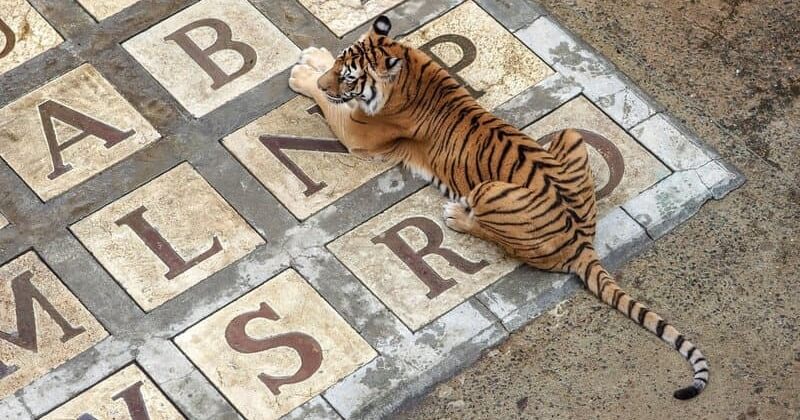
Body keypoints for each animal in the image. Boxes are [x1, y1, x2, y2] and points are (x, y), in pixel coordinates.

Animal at [286, 14, 708, 398]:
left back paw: (457, 216)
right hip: (568, 135)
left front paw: (303, 76)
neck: (406, 65)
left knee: (497, 237)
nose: (327, 80)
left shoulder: (358, 132)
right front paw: (315, 59)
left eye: (350, 77)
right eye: (342, 67)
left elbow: (329, 104)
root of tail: (582, 241)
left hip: (489, 190)